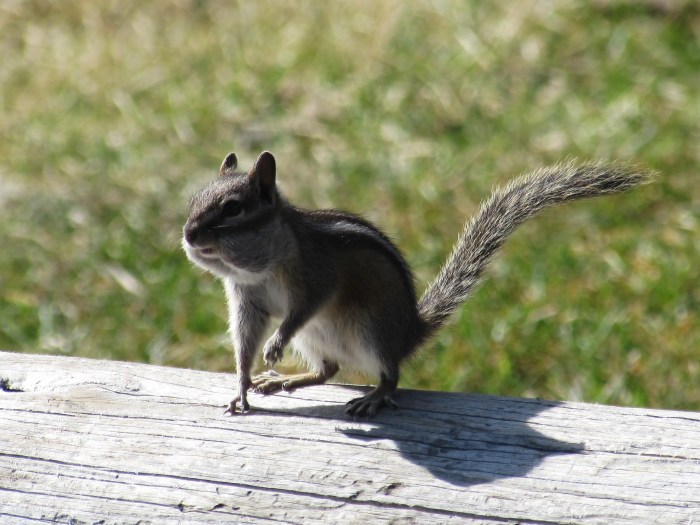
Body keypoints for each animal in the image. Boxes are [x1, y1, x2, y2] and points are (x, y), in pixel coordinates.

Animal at [183, 151, 651, 417]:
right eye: (193, 201)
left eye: (233, 207)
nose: (188, 234)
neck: (255, 265)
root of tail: (409, 332)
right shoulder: (248, 301)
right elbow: (244, 341)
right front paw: (243, 385)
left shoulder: (317, 275)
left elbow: (301, 310)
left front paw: (275, 345)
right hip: (319, 340)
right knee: (328, 369)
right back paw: (282, 381)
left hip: (371, 330)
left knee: (391, 376)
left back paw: (373, 396)